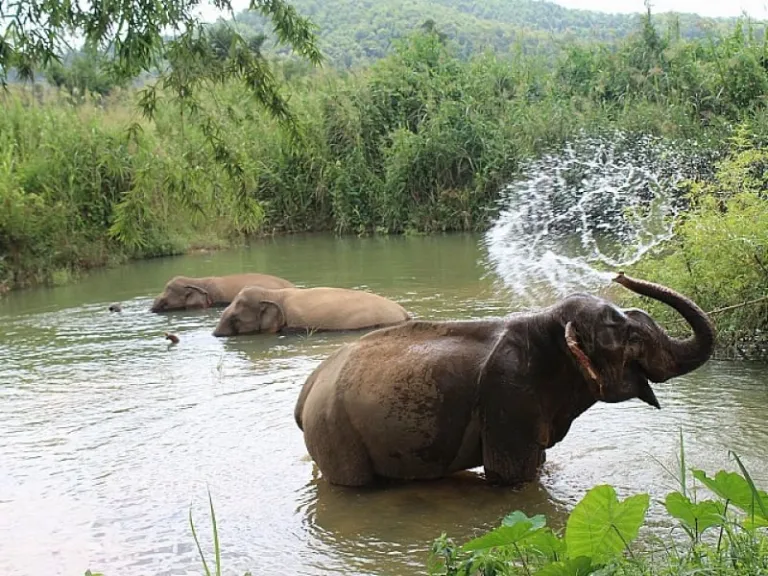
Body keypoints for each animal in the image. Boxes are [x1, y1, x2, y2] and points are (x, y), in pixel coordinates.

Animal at [293, 272, 716, 488]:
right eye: (633, 339)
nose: (620, 274)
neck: (549, 324)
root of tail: (310, 387)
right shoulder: (511, 394)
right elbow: (511, 476)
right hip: (334, 429)